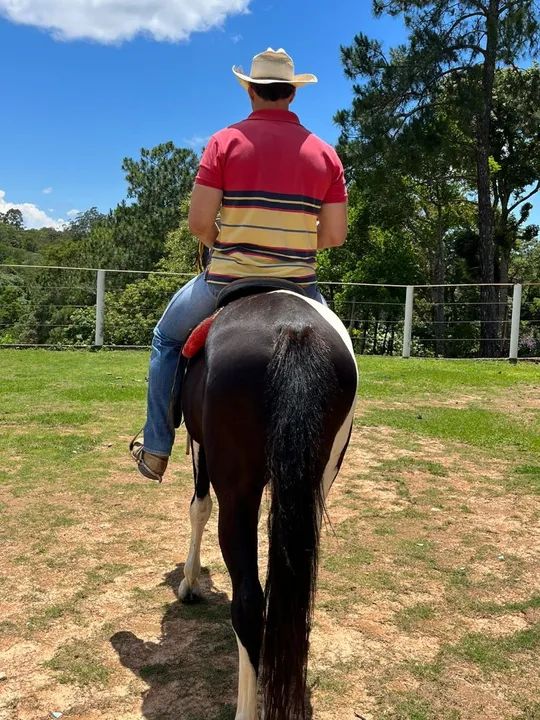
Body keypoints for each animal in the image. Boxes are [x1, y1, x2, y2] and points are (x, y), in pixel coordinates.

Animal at [177, 283, 358, 720]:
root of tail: (293, 331)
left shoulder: (199, 444)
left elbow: (198, 508)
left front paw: (189, 582)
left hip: (238, 490)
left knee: (248, 603)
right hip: (316, 481)